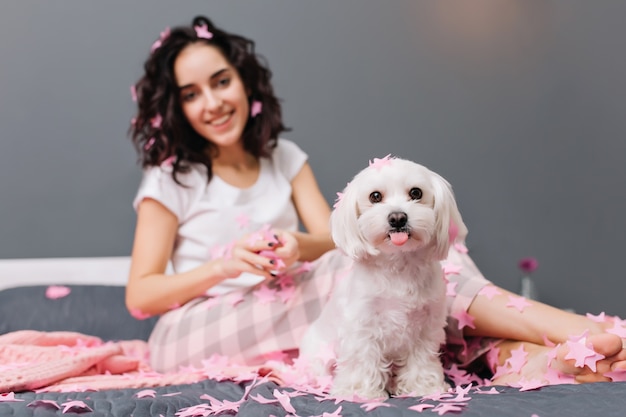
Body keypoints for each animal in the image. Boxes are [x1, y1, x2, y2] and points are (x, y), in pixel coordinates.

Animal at [296, 154, 464, 398]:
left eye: (416, 193)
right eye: (375, 196)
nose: (397, 218)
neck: (399, 267)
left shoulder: (426, 326)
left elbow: (421, 359)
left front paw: (422, 387)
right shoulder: (362, 324)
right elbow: (362, 358)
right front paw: (359, 391)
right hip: (319, 356)